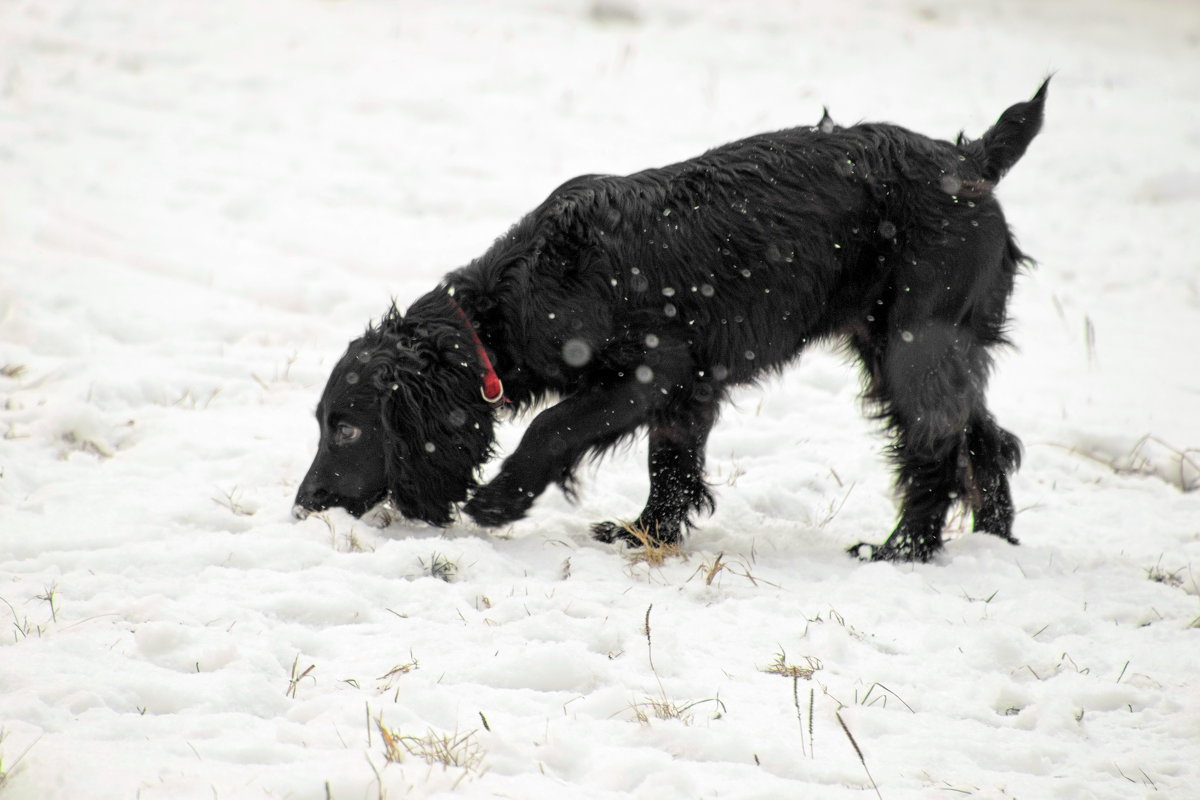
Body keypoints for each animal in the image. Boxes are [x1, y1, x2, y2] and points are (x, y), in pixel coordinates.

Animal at [295, 77, 1046, 561]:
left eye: (347, 427)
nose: (303, 506)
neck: (516, 295)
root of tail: (972, 160)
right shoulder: (689, 389)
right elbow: (672, 466)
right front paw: (645, 535)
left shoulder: (654, 368)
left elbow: (550, 426)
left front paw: (501, 500)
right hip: (908, 344)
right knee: (985, 437)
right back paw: (993, 542)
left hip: (914, 341)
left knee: (935, 443)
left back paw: (902, 550)